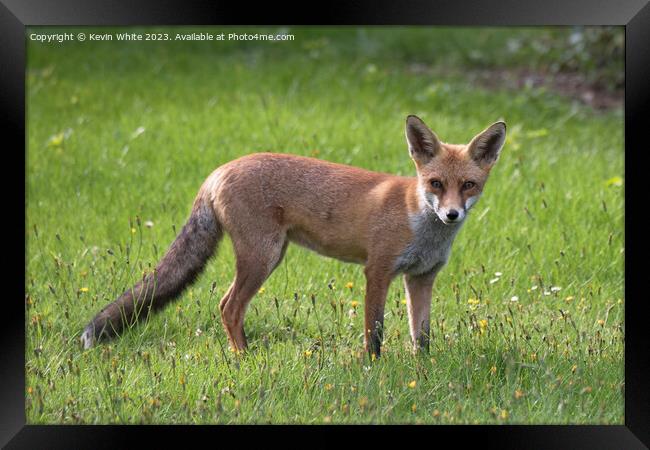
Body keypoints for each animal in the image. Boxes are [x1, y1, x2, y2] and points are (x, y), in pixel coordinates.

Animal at [81, 115, 504, 356]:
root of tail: (218, 170)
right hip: (263, 257)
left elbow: (422, 336)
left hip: (271, 254)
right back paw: (245, 360)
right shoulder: (378, 271)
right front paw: (375, 370)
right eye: (435, 183)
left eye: (468, 185)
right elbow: (375, 332)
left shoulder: (421, 279)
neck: (421, 224)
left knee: (225, 305)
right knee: (228, 307)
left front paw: (423, 371)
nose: (451, 214)